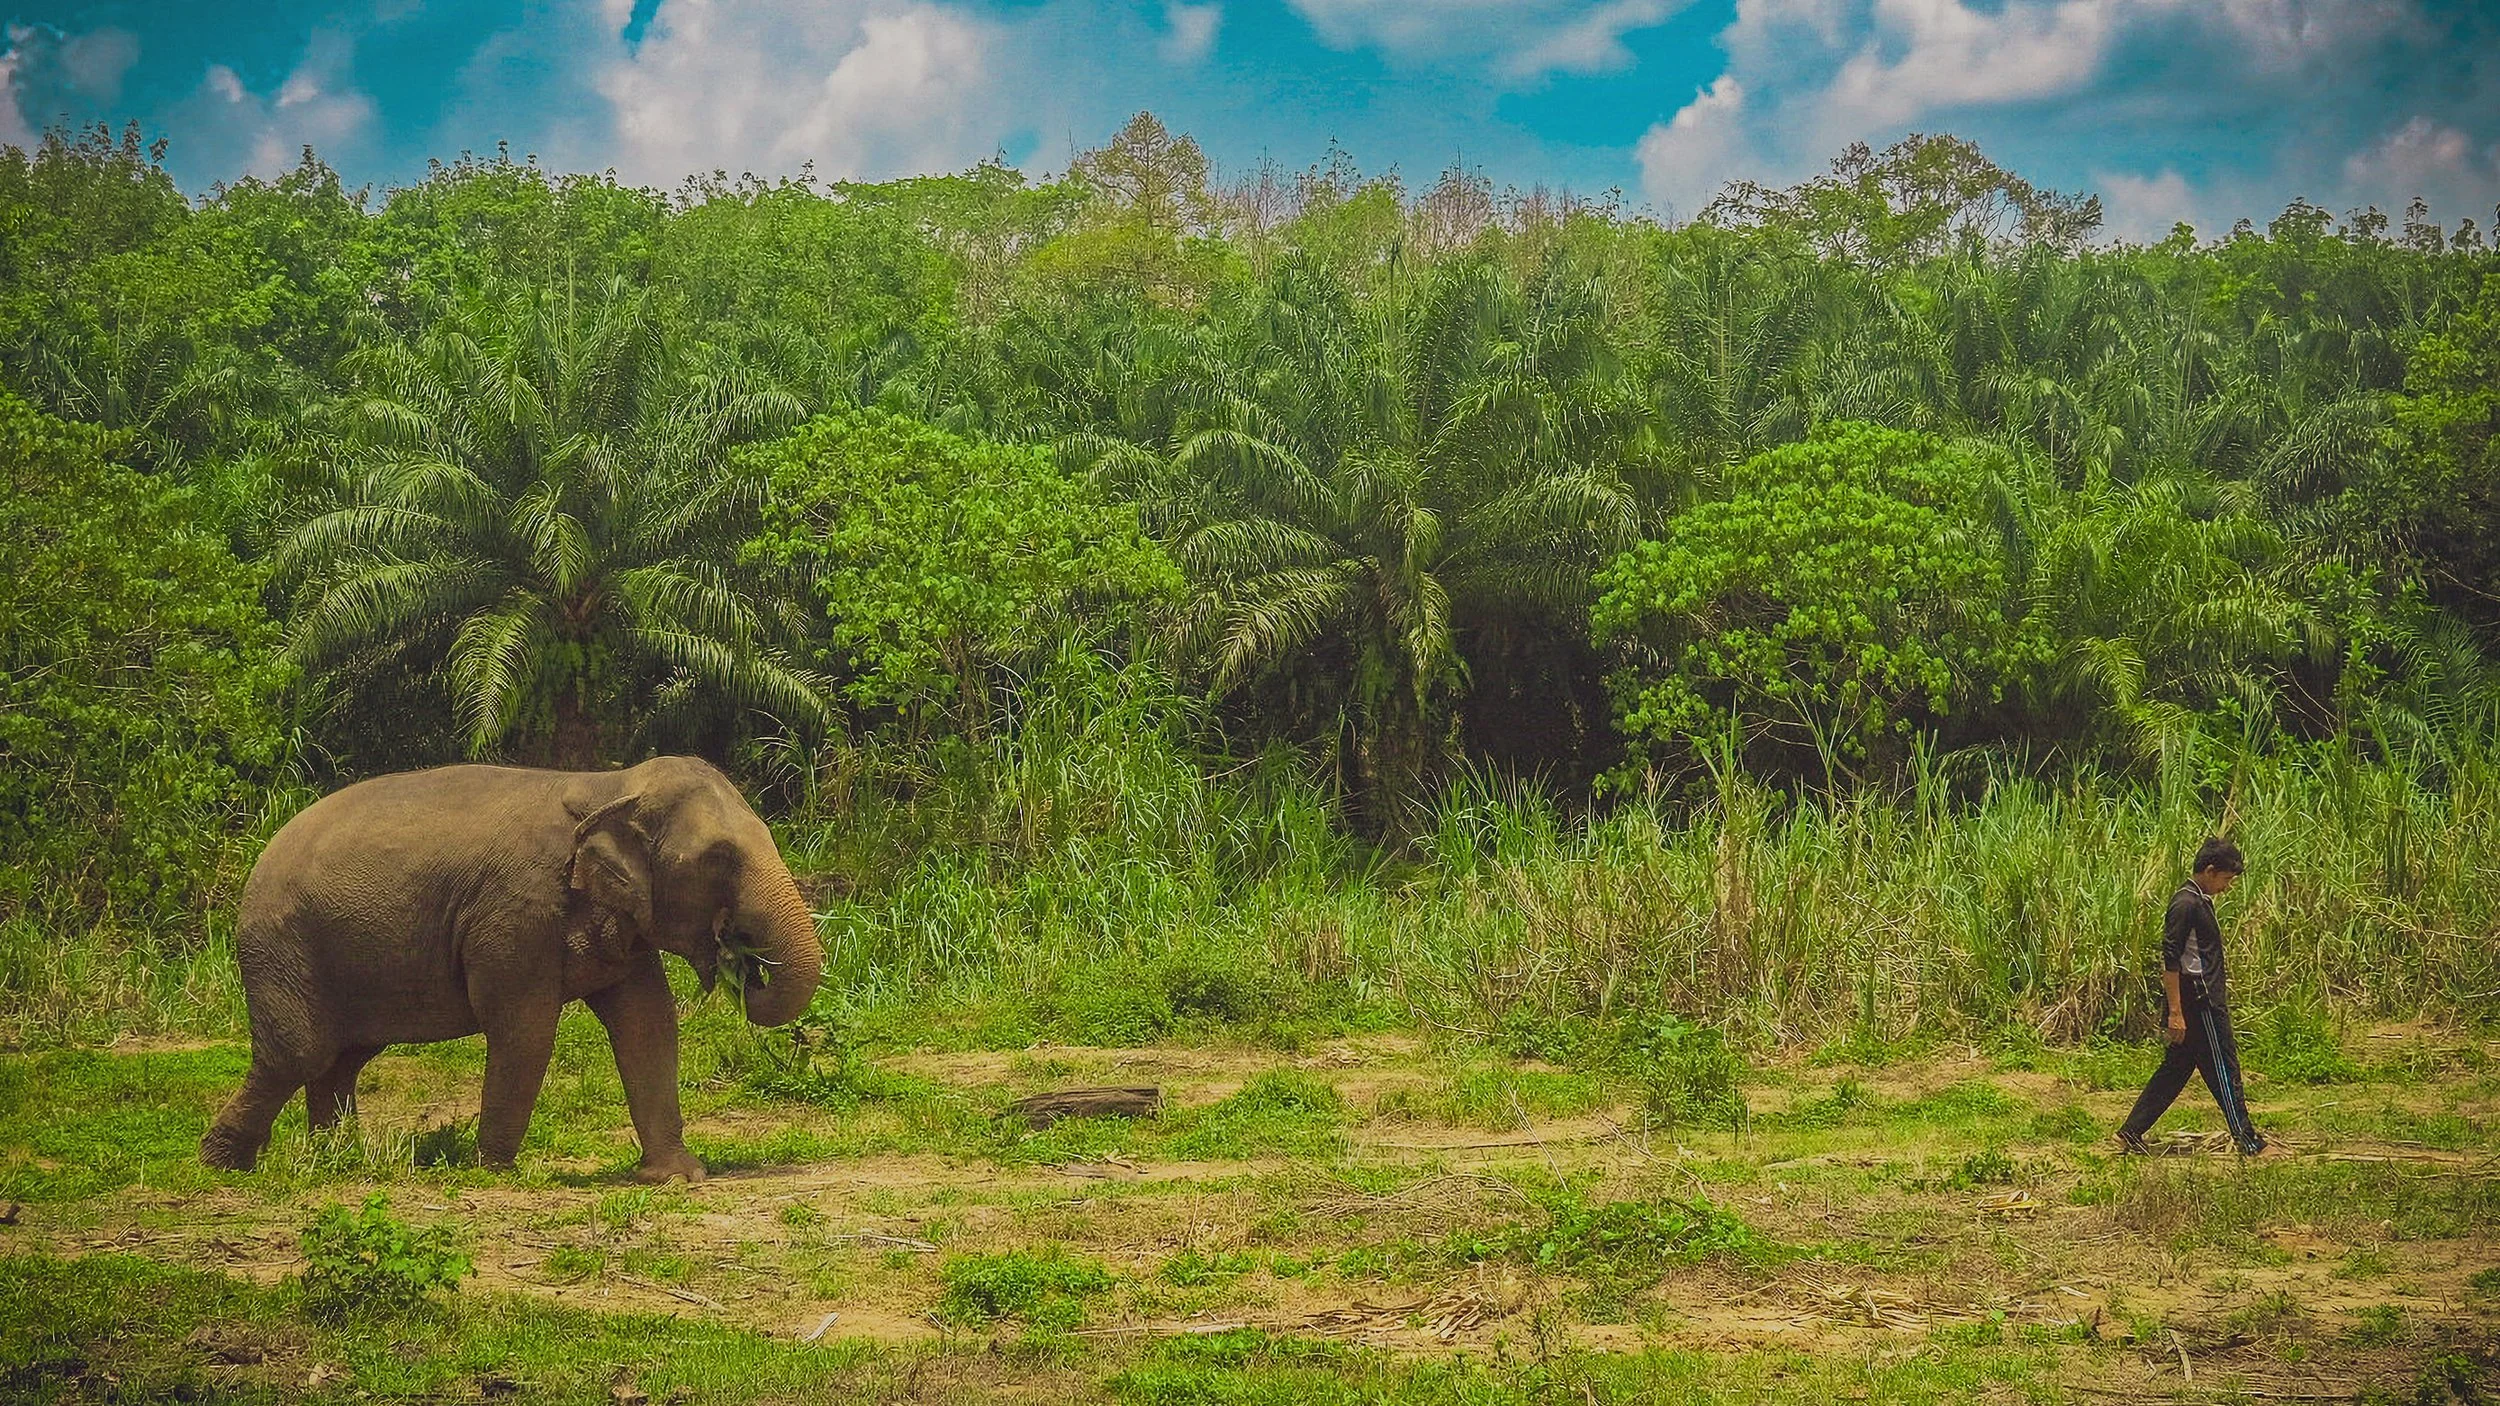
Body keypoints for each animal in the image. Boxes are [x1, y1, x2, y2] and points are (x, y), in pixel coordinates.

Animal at [200, 756, 824, 1182]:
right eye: (718, 857)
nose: (739, 959)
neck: (612, 783)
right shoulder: (515, 911)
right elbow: (525, 1030)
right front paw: (495, 1170)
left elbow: (648, 1024)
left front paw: (677, 1176)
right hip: (283, 949)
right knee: (299, 1054)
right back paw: (223, 1163)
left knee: (341, 1060)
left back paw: (339, 1158)